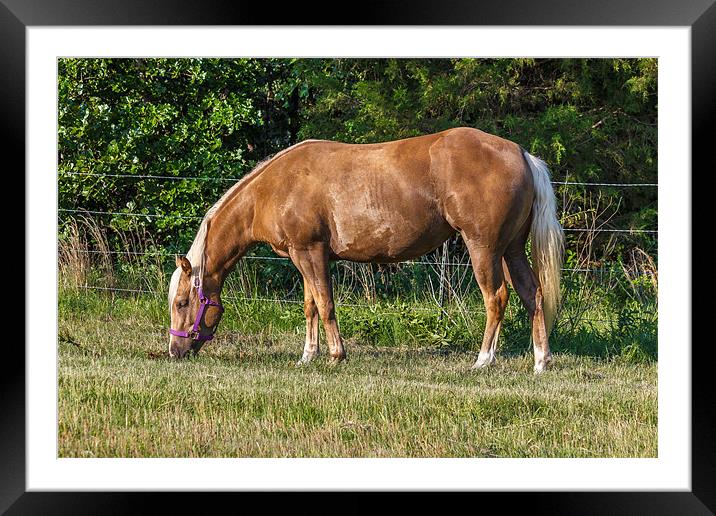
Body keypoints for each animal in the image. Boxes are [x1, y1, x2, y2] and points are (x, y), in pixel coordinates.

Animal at [169, 127, 564, 372]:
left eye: (183, 302)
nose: (174, 351)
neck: (274, 188)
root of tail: (522, 154)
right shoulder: (303, 256)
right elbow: (310, 306)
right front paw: (307, 356)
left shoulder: (310, 252)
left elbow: (325, 304)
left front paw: (335, 355)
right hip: (511, 250)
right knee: (532, 294)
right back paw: (540, 361)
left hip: (484, 248)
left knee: (496, 297)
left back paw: (483, 360)